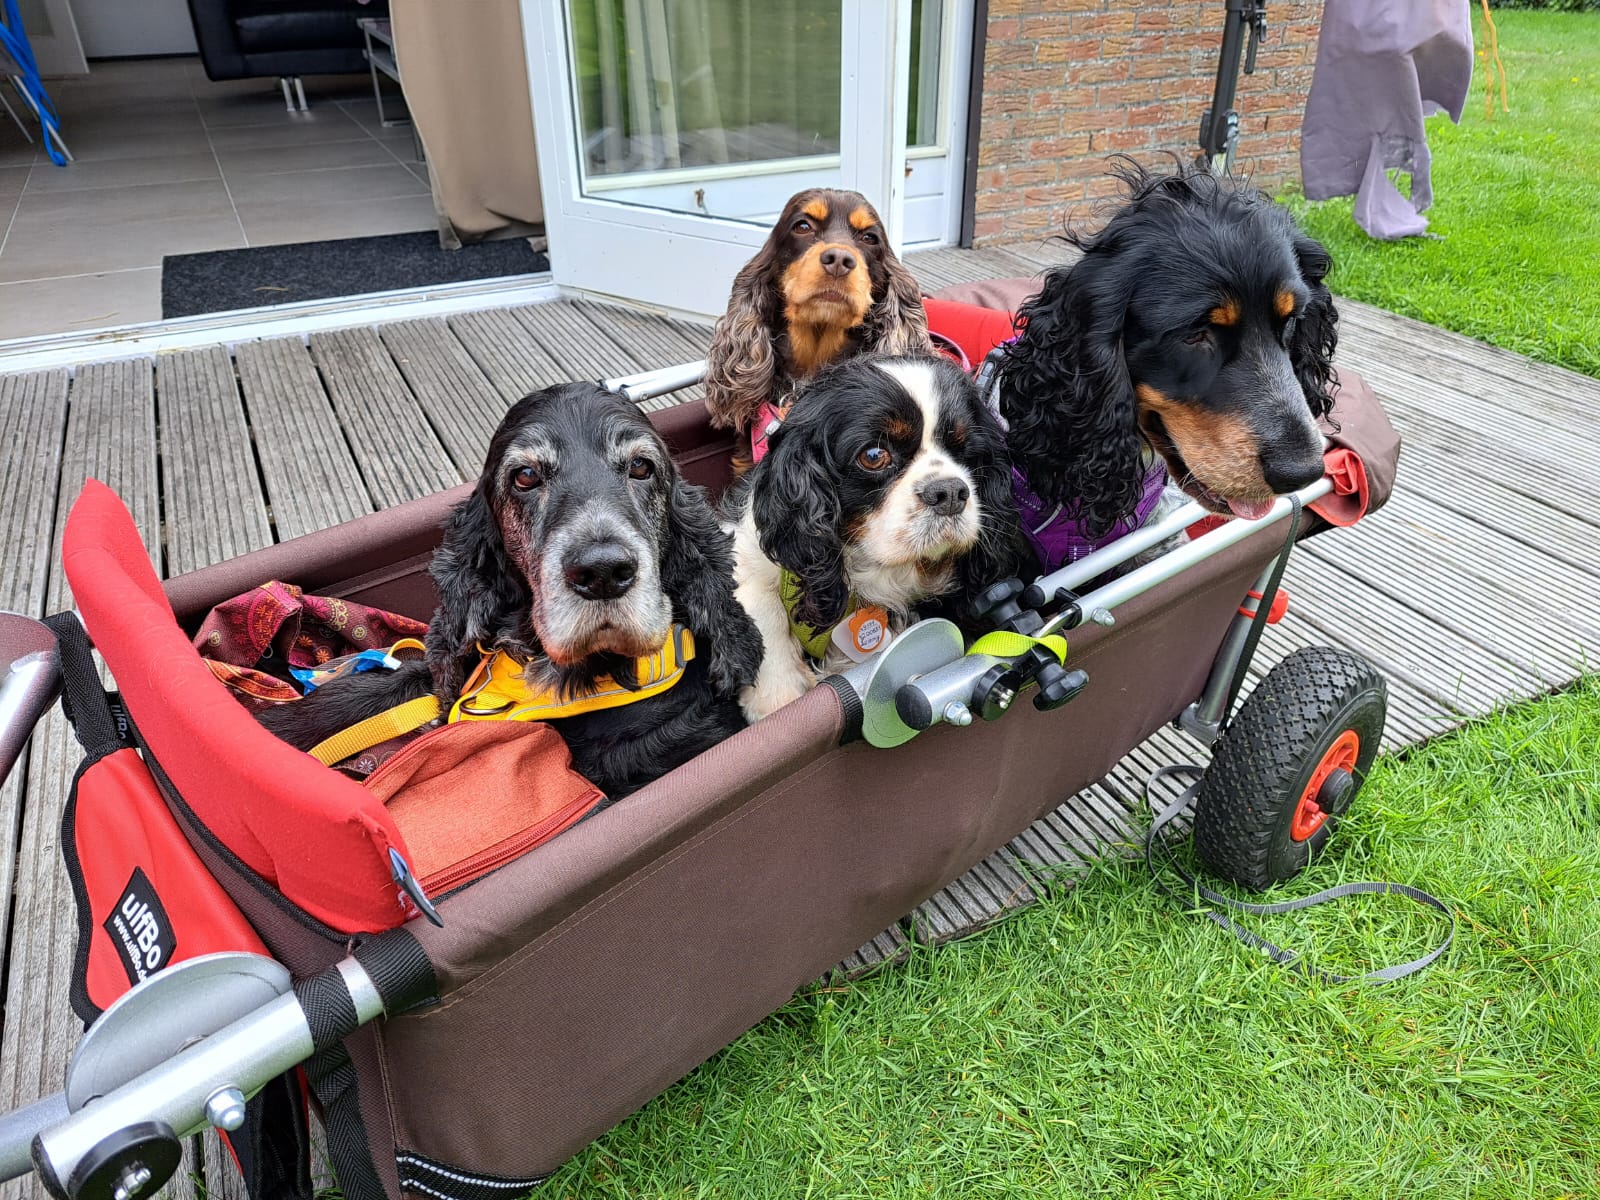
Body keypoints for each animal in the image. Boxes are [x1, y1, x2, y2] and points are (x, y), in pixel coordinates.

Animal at [726, 355, 1019, 723]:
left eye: (966, 450)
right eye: (874, 456)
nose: (950, 492)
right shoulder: (744, 546)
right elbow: (761, 607)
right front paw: (779, 695)